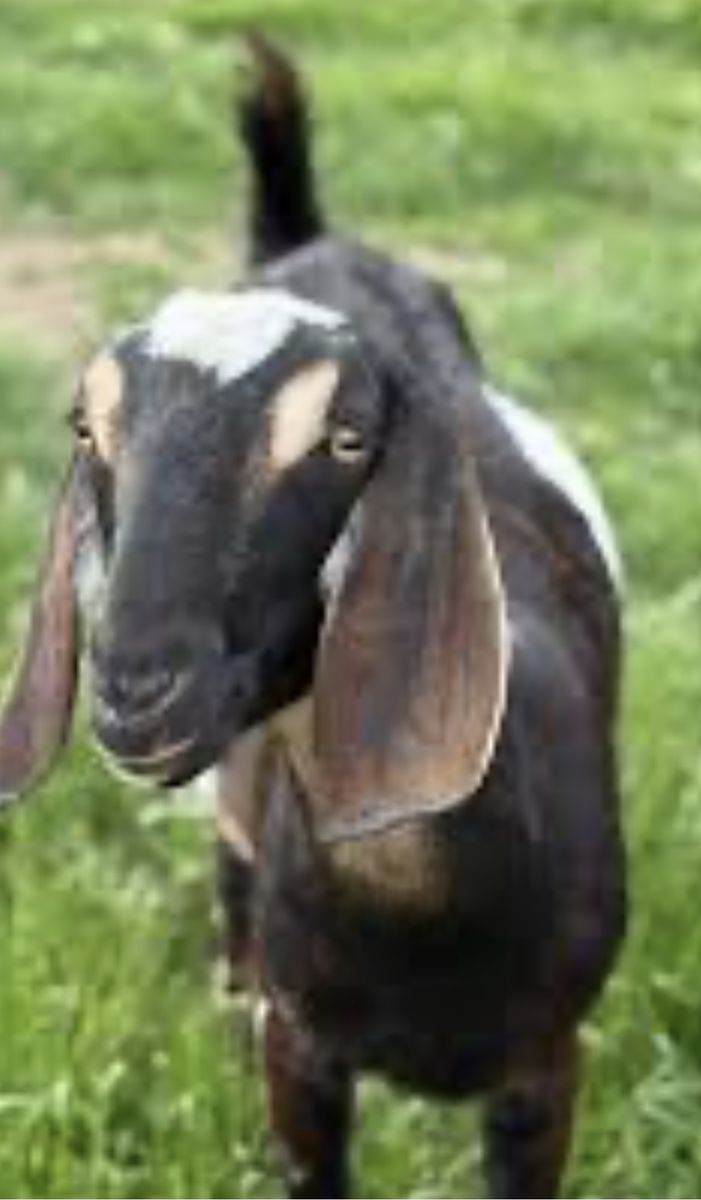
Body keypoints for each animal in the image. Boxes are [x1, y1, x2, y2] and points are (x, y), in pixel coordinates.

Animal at [0, 37, 626, 1199]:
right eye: (88, 428)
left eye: (344, 439)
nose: (136, 691)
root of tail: (301, 238)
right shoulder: (300, 1055)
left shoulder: (547, 1067)